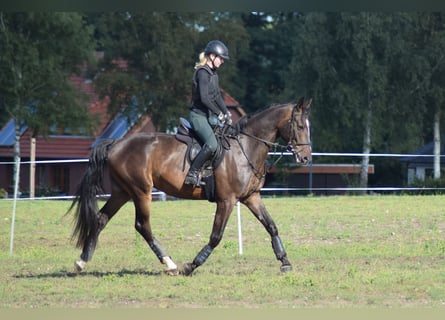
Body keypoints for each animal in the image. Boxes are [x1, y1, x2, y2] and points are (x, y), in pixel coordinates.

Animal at [67, 97, 312, 276]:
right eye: (300, 126)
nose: (306, 158)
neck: (246, 147)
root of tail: (116, 144)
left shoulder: (251, 197)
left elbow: (271, 226)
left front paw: (285, 261)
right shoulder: (227, 200)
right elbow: (216, 236)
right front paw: (191, 265)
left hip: (122, 192)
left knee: (101, 219)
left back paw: (81, 262)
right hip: (140, 191)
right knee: (142, 225)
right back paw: (170, 264)